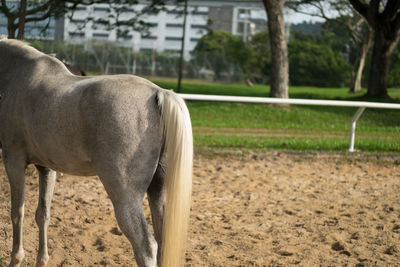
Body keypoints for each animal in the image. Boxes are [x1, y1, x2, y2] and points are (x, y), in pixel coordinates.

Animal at [0, 36, 194, 267]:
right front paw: (42, 260)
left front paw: (16, 259)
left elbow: (17, 212)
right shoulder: (46, 168)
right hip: (159, 192)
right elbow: (43, 214)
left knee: (146, 246)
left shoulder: (14, 161)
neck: (16, 74)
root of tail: (158, 93)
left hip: (124, 196)